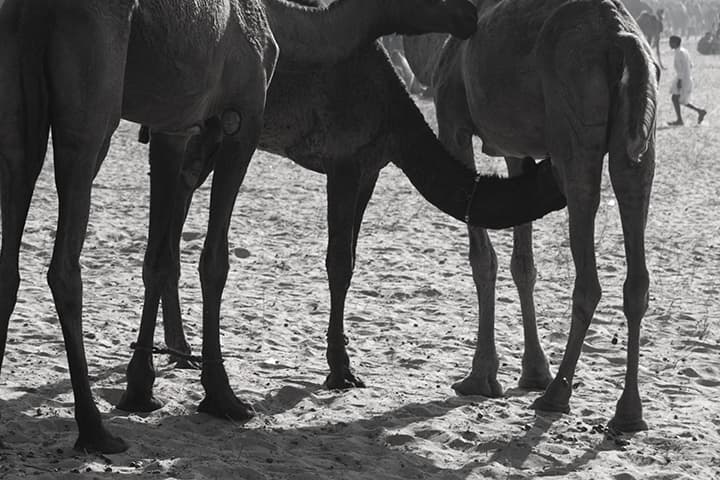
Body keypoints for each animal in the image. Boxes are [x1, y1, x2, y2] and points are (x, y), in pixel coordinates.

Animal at [0, 0, 484, 454]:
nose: (470, 15)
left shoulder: (180, 123)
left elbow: (160, 257)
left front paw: (142, 390)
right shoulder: (244, 117)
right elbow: (215, 261)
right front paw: (223, 397)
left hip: (21, 114)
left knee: (14, 250)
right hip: (93, 101)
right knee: (65, 263)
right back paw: (94, 430)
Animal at [406, 0, 658, 432]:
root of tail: (621, 40)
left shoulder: (453, 123)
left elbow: (482, 259)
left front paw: (480, 377)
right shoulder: (516, 150)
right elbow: (523, 263)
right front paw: (533, 370)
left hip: (576, 124)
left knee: (588, 271)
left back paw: (557, 395)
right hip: (640, 144)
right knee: (636, 262)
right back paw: (628, 413)